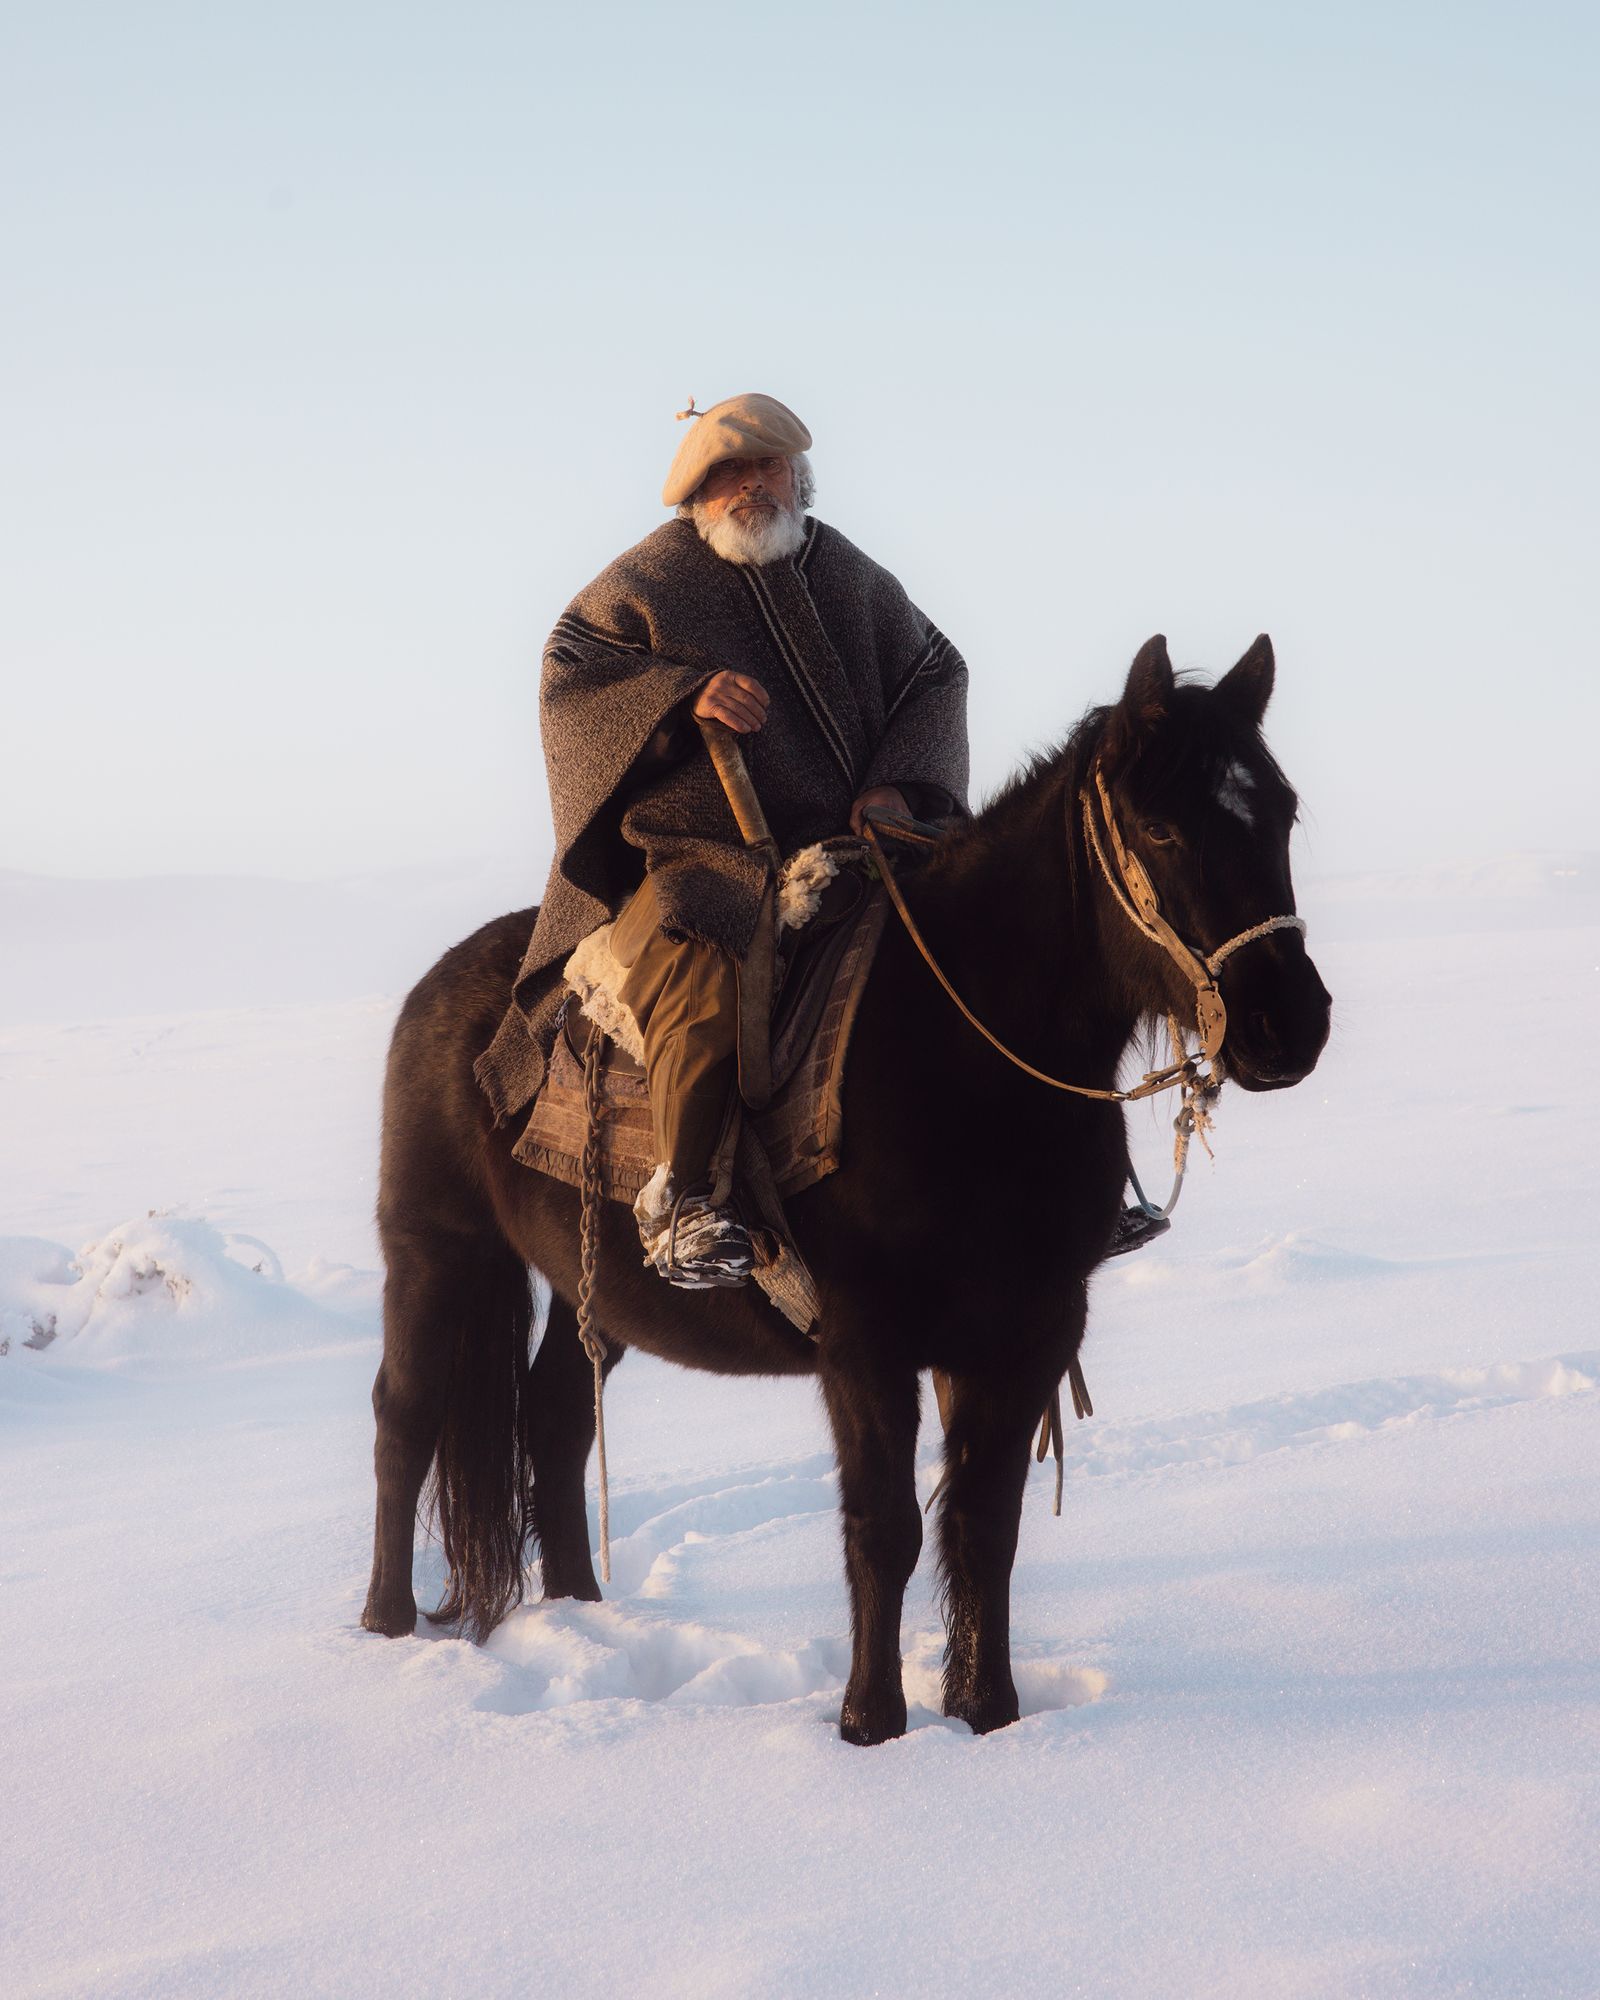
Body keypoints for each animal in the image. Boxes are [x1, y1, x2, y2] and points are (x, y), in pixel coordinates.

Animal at [360, 632, 1332, 1745]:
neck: (965, 1064)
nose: (1288, 1026)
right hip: (435, 1248)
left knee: (556, 1420)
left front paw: (989, 1715)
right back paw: (385, 1626)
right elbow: (885, 1527)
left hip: (580, 1283)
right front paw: (870, 1724)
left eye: (1281, 811)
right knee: (405, 1417)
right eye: (1163, 826)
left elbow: (983, 1525)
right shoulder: (866, 1342)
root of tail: (448, 986)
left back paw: (582, 1611)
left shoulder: (1027, 1329)